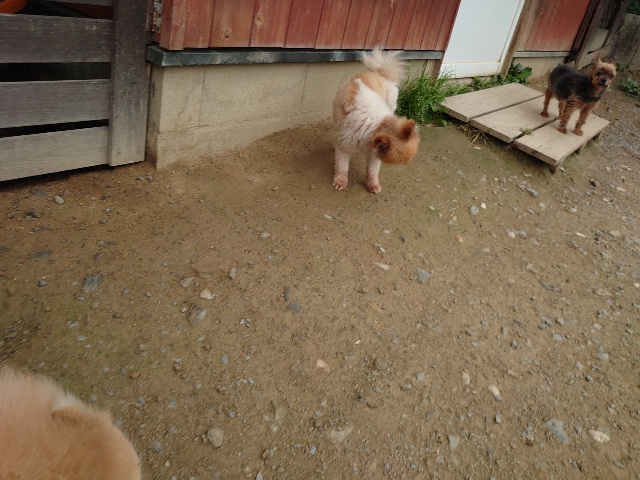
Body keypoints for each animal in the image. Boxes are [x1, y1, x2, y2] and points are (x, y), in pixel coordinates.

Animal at [332, 48, 420, 193]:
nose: (407, 163)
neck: (376, 125)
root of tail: (379, 73)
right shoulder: (345, 147)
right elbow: (342, 167)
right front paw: (341, 182)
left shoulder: (374, 155)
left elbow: (372, 171)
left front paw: (373, 185)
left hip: (391, 104)